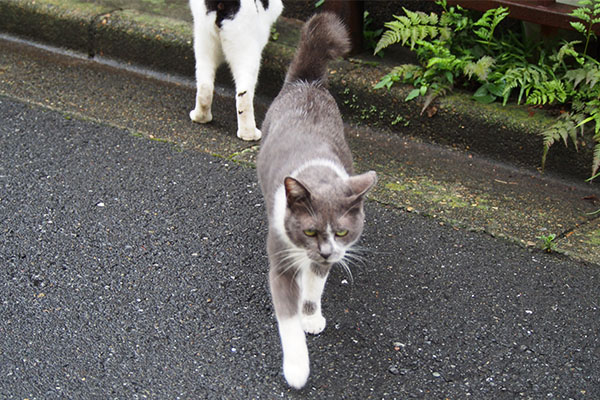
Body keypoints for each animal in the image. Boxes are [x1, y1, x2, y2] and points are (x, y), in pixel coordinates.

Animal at [189, 0, 282, 141]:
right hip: (246, 50)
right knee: (244, 95)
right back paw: (249, 134)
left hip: (204, 40)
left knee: (204, 86)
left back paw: (201, 117)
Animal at [255, 13, 378, 390]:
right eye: (309, 231)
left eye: (342, 233)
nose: (324, 251)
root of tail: (306, 81)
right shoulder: (280, 261)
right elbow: (287, 317)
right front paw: (297, 369)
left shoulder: (328, 260)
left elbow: (314, 288)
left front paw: (311, 317)